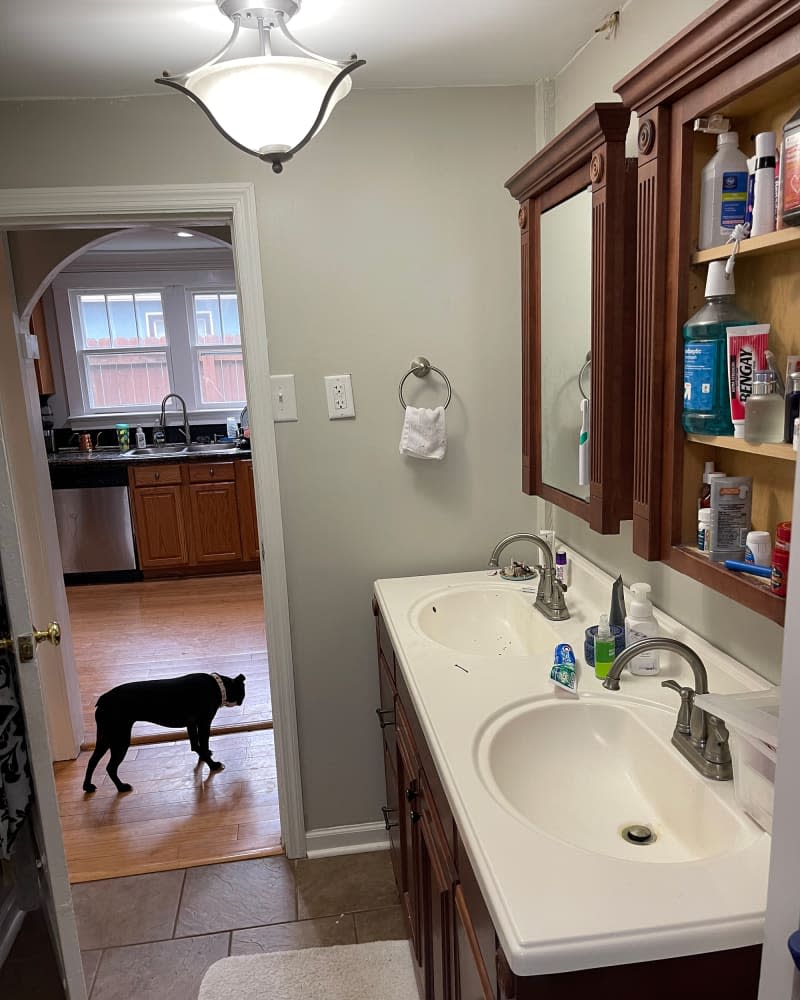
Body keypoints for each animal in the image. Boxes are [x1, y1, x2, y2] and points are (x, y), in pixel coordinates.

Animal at [83, 672, 247, 796]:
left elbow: (196, 745)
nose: (242, 701)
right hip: (120, 739)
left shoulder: (191, 724)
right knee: (110, 767)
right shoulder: (204, 723)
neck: (218, 686)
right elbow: (203, 744)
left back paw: (87, 786)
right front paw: (213, 765)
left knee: (92, 761)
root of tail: (103, 700)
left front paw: (204, 756)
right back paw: (121, 787)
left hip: (106, 737)